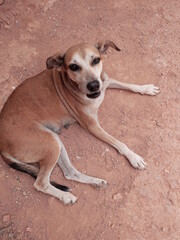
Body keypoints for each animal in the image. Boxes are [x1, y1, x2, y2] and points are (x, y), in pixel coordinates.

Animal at [0, 40, 160, 204]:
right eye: (73, 67)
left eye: (96, 60)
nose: (93, 85)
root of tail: (2, 146)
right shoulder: (92, 125)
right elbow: (119, 143)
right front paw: (133, 157)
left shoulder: (106, 81)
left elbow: (127, 84)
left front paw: (145, 88)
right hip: (50, 144)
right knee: (41, 183)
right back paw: (65, 196)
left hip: (55, 142)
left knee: (70, 173)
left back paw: (96, 182)